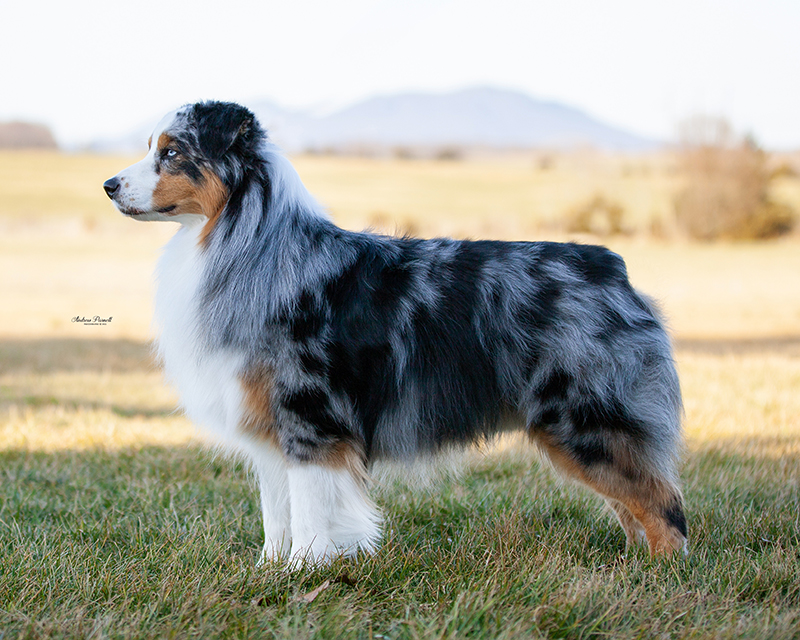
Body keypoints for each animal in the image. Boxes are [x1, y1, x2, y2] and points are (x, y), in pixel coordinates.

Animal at [103, 101, 687, 565]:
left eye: (171, 152)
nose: (108, 186)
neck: (239, 239)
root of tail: (611, 266)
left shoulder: (310, 417)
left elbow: (310, 509)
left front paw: (304, 573)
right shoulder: (266, 419)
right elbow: (277, 510)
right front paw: (268, 571)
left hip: (586, 419)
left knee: (663, 506)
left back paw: (661, 576)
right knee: (635, 503)